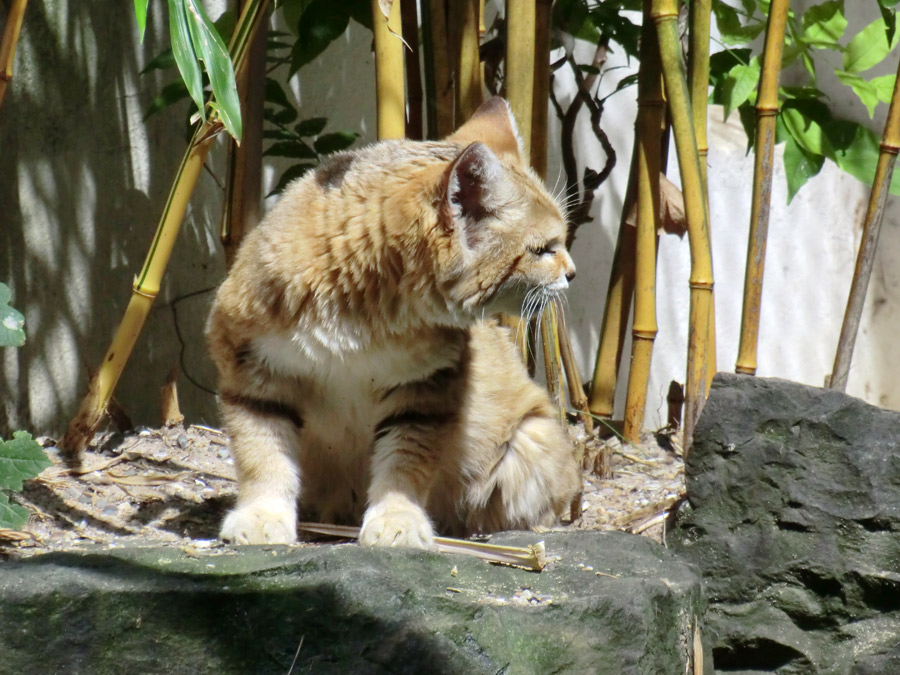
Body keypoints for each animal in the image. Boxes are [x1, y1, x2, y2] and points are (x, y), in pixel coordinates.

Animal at [207, 96, 580, 548]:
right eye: (543, 250)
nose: (573, 273)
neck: (359, 315)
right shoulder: (252, 373)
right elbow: (262, 455)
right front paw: (261, 515)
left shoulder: (425, 392)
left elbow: (405, 464)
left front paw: (396, 519)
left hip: (530, 439)